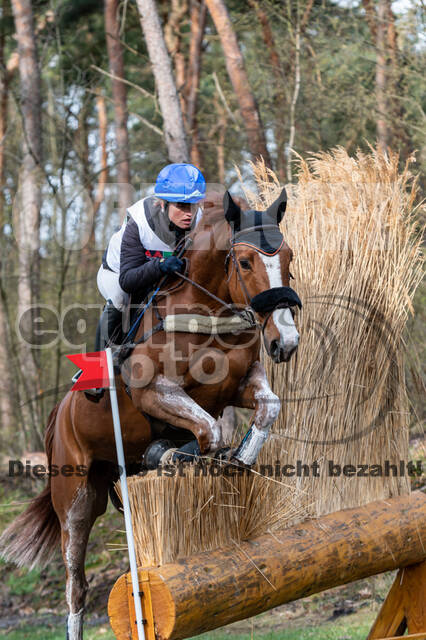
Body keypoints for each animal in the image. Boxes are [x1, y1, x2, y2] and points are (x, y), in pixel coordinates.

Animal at [0, 188, 300, 636]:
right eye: (245, 262)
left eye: (289, 258)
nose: (287, 342)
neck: (207, 314)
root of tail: (59, 415)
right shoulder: (154, 393)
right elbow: (210, 432)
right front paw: (174, 454)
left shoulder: (241, 382)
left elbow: (266, 408)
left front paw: (240, 457)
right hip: (75, 497)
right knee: (76, 585)